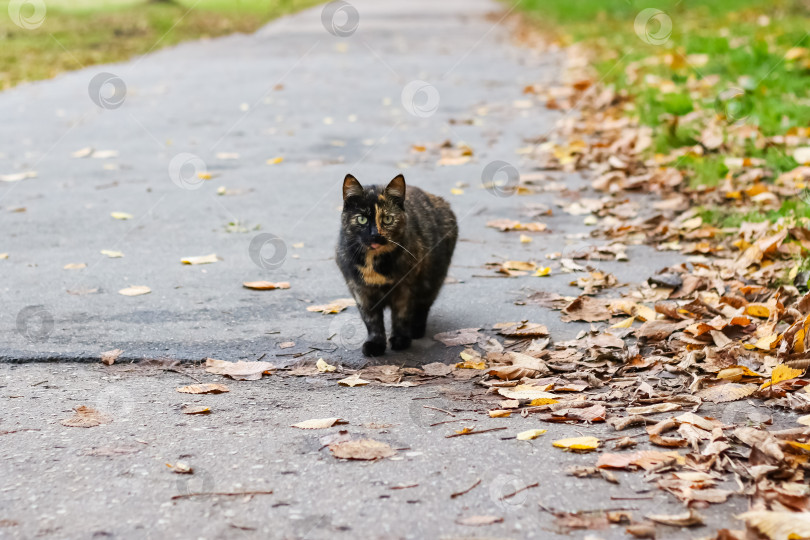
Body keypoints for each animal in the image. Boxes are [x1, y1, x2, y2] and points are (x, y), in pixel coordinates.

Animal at [334, 175, 458, 356]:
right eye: (362, 219)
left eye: (387, 219)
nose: (375, 235)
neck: (374, 262)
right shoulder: (361, 291)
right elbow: (372, 321)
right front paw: (375, 344)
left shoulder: (405, 288)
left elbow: (401, 315)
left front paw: (401, 339)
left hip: (432, 280)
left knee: (423, 306)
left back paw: (416, 330)